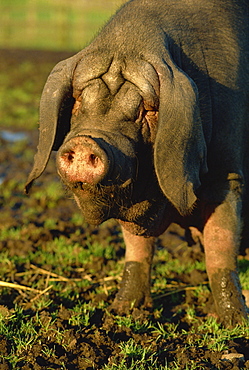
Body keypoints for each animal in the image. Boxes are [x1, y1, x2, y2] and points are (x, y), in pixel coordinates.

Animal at [24, 0, 247, 326]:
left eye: (145, 109)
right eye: (78, 101)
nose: (86, 142)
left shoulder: (227, 174)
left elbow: (220, 250)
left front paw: (235, 323)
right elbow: (136, 248)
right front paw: (122, 310)